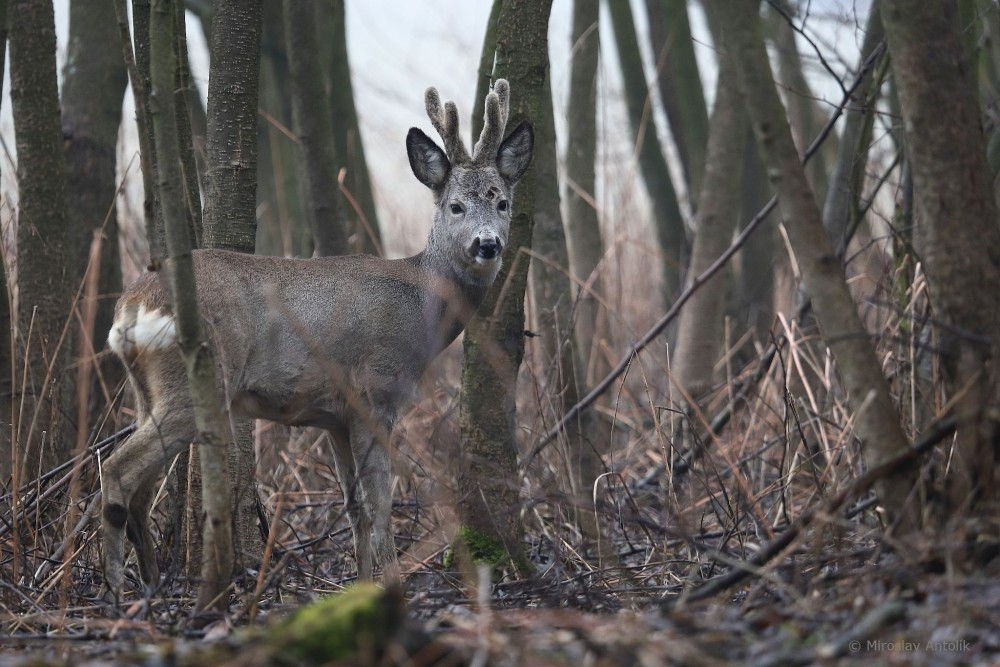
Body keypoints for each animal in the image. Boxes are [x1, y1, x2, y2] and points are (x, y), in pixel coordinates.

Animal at [101, 81, 536, 596]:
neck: (422, 306)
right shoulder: (375, 391)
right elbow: (379, 505)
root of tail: (132, 305)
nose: (487, 244)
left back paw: (148, 587)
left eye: (502, 202)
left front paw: (361, 587)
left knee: (142, 488)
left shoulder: (335, 416)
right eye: (456, 206)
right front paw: (392, 586)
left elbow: (354, 507)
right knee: (118, 470)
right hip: (196, 379)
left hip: (147, 388)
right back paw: (117, 591)